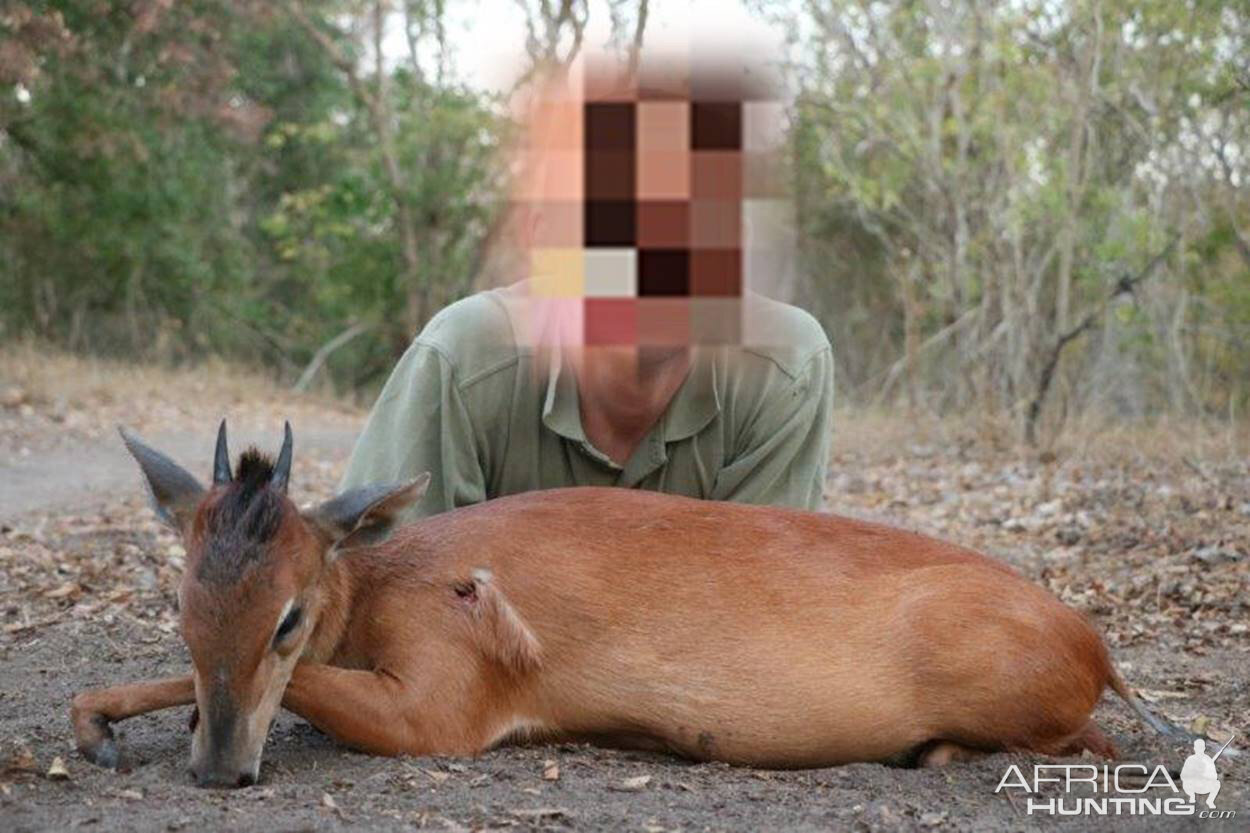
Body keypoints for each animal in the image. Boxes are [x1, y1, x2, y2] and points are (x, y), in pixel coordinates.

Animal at [73, 422, 1175, 785]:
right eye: (184, 605)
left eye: (289, 615)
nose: (221, 768)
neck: (391, 582)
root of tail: (1098, 647)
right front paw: (92, 722)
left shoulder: (442, 711)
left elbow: (305, 685)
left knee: (1096, 743)